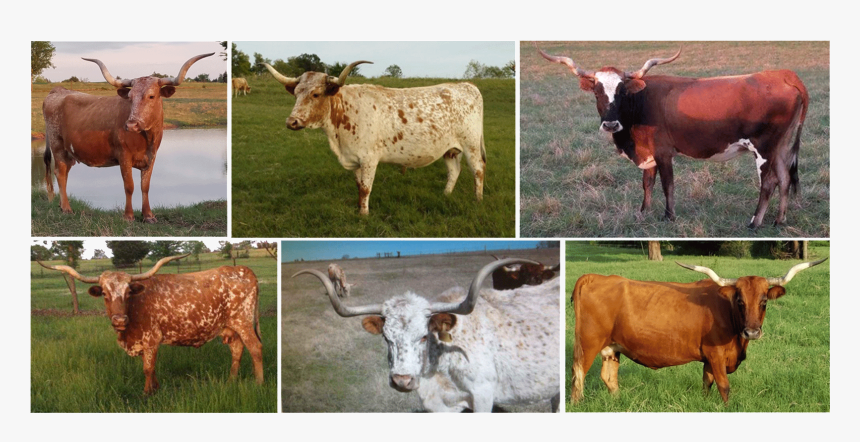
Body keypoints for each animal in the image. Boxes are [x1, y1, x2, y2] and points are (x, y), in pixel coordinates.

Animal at [37, 254, 263, 395]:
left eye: (128, 292)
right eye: (104, 294)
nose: (119, 320)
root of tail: (244, 270)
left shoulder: (152, 339)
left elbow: (147, 368)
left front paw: (147, 393)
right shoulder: (142, 341)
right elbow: (150, 367)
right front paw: (156, 388)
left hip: (243, 322)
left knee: (255, 348)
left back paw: (259, 383)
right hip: (231, 327)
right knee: (237, 350)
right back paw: (231, 381)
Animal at [42, 53, 214, 223]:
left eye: (151, 96)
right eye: (130, 97)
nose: (131, 125)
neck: (147, 138)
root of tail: (57, 90)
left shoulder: (152, 157)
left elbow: (145, 186)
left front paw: (148, 215)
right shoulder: (124, 156)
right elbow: (129, 186)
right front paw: (128, 216)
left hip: (69, 152)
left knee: (65, 173)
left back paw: (62, 205)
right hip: (57, 145)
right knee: (60, 173)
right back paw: (66, 208)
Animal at [263, 61, 486, 215]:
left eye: (316, 94)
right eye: (296, 93)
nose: (291, 121)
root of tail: (467, 85)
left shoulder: (369, 158)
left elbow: (366, 188)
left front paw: (364, 215)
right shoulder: (354, 159)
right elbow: (359, 187)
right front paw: (359, 210)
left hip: (471, 145)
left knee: (478, 170)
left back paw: (478, 200)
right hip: (450, 149)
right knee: (454, 171)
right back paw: (445, 195)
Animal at [537, 45, 809, 228]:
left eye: (622, 92)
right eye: (596, 92)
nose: (611, 123)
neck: (641, 102)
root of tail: (784, 74)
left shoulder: (663, 151)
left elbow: (667, 184)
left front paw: (669, 216)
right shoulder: (648, 153)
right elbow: (647, 183)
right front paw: (643, 212)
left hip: (764, 148)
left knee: (769, 183)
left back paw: (755, 222)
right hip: (781, 146)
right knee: (785, 179)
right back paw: (779, 220)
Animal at [570, 258, 827, 404]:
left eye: (764, 301)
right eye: (740, 301)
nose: (752, 332)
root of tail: (594, 277)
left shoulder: (709, 359)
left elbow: (707, 383)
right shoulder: (715, 353)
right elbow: (724, 386)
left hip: (612, 347)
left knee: (609, 377)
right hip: (588, 343)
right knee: (578, 375)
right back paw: (576, 405)